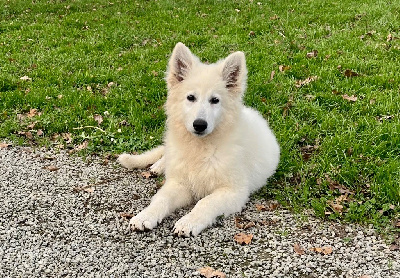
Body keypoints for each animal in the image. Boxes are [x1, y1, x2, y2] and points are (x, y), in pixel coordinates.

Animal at [117, 42, 280, 236]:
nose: (199, 125)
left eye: (215, 100)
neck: (200, 148)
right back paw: (157, 165)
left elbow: (205, 202)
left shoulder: (233, 191)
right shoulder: (179, 183)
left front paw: (188, 222)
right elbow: (161, 198)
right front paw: (145, 216)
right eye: (191, 97)